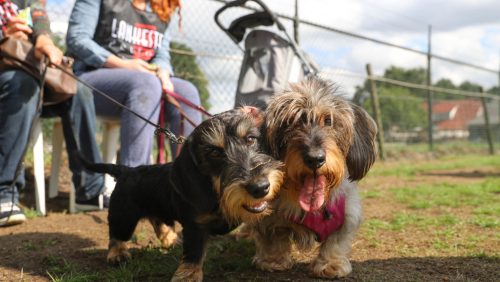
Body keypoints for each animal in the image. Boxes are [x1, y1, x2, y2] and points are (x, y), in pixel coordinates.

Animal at [252, 77, 376, 278]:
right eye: (290, 122)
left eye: (329, 120)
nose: (315, 159)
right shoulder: (268, 216)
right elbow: (273, 238)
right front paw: (273, 261)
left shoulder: (347, 214)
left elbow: (336, 242)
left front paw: (331, 264)